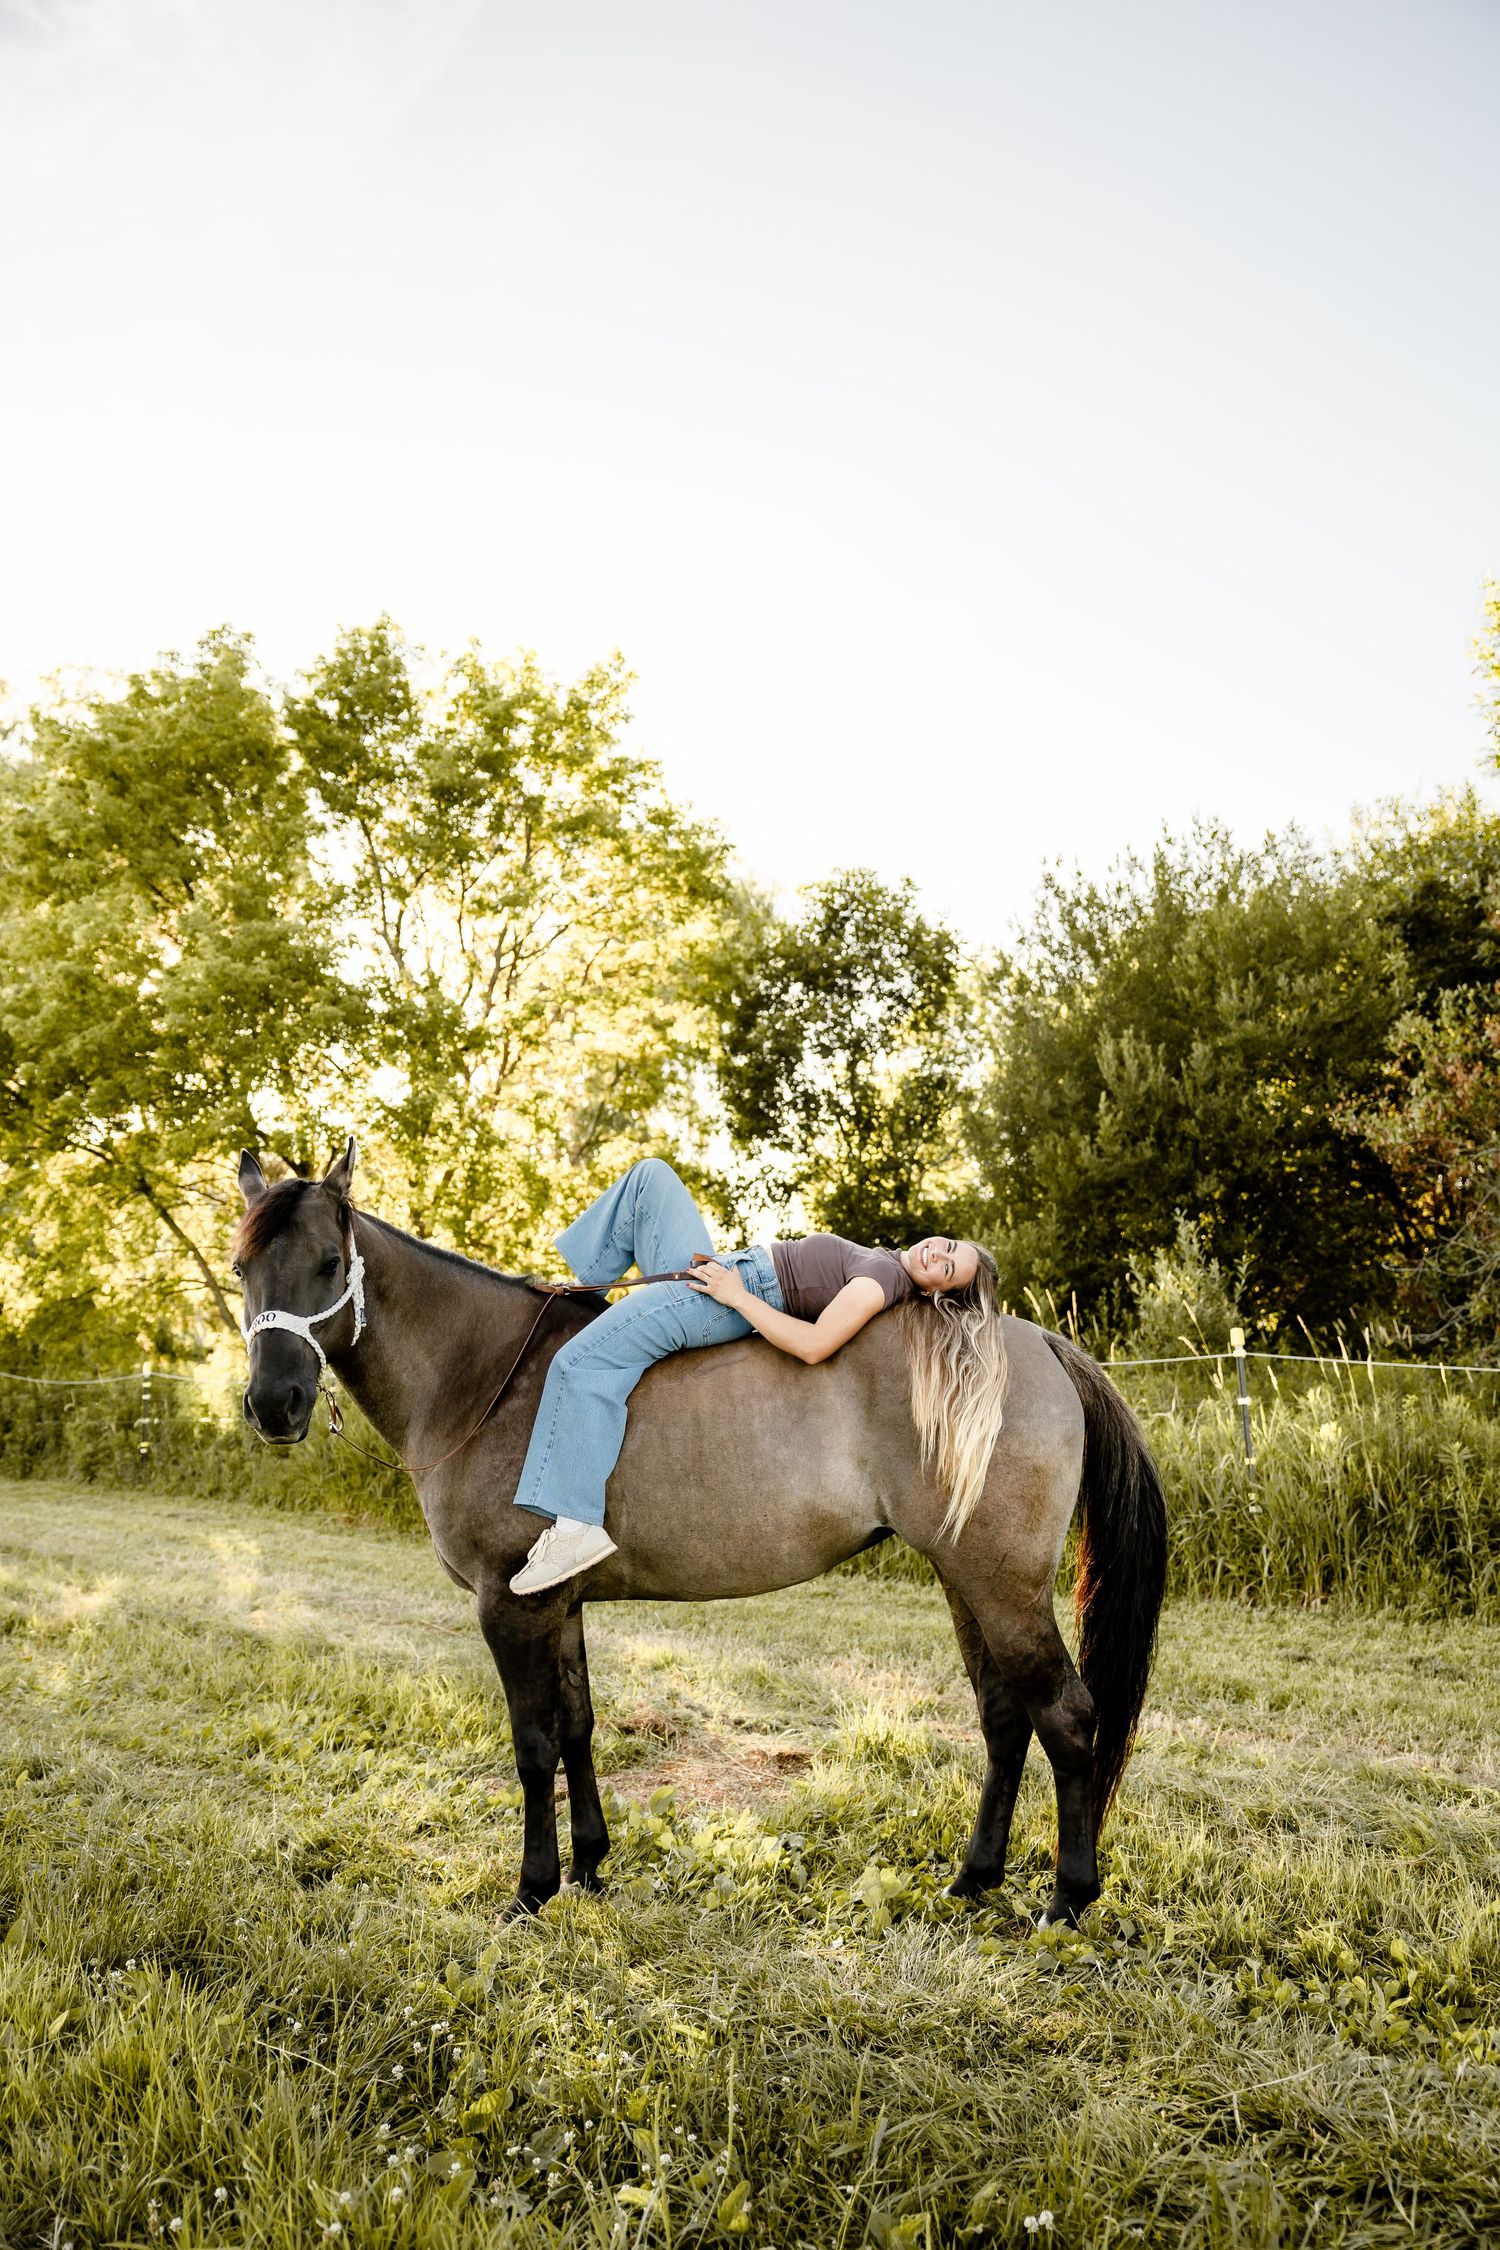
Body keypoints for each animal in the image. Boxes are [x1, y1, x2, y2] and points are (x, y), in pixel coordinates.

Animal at [234, 1143, 1167, 1928]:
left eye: (327, 1263)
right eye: (243, 1267)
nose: (274, 1404)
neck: (484, 1374)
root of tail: (1037, 1342)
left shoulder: (510, 1608)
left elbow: (533, 1745)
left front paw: (532, 1891)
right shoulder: (557, 1605)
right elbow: (578, 1725)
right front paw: (590, 1867)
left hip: (1001, 1586)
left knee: (1067, 1717)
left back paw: (1067, 1901)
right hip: (964, 1579)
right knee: (1007, 1718)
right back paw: (973, 1879)